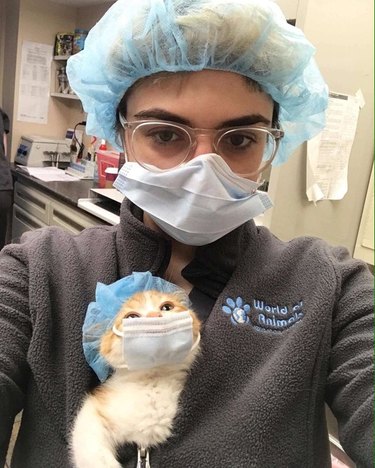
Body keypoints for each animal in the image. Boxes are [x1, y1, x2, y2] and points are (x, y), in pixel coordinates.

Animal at [69, 288, 201, 468]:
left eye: (167, 307)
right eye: (131, 317)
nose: (154, 316)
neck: (152, 378)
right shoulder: (93, 410)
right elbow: (91, 449)